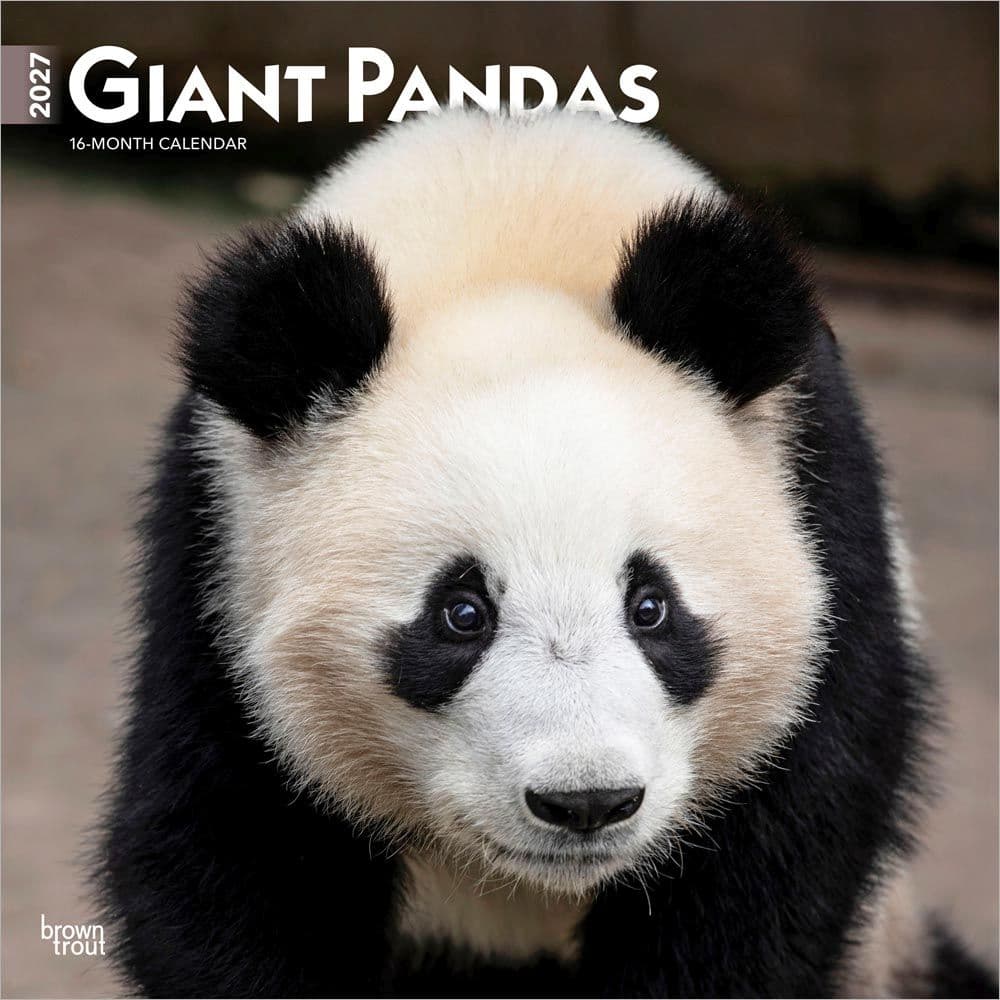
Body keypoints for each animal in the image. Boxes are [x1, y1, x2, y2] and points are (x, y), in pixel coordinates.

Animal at [96, 110, 997, 998]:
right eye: (461, 614)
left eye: (651, 606)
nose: (587, 802)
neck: (508, 224)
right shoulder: (217, 558)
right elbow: (219, 851)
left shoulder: (824, 515)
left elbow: (773, 865)